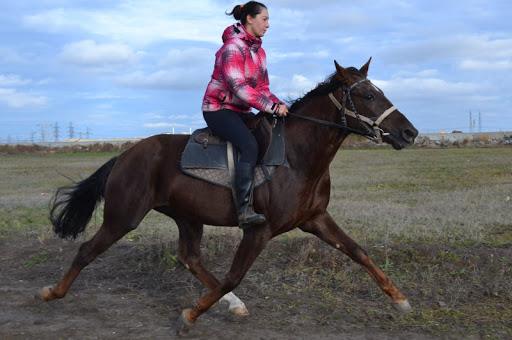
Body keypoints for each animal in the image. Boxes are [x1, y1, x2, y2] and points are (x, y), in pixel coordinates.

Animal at [40, 59, 416, 334]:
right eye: (368, 96)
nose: (409, 133)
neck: (295, 157)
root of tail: (125, 155)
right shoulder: (258, 229)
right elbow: (236, 273)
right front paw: (190, 315)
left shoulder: (316, 219)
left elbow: (358, 252)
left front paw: (400, 300)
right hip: (124, 216)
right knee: (88, 250)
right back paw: (52, 292)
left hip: (187, 217)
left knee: (190, 258)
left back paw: (233, 303)